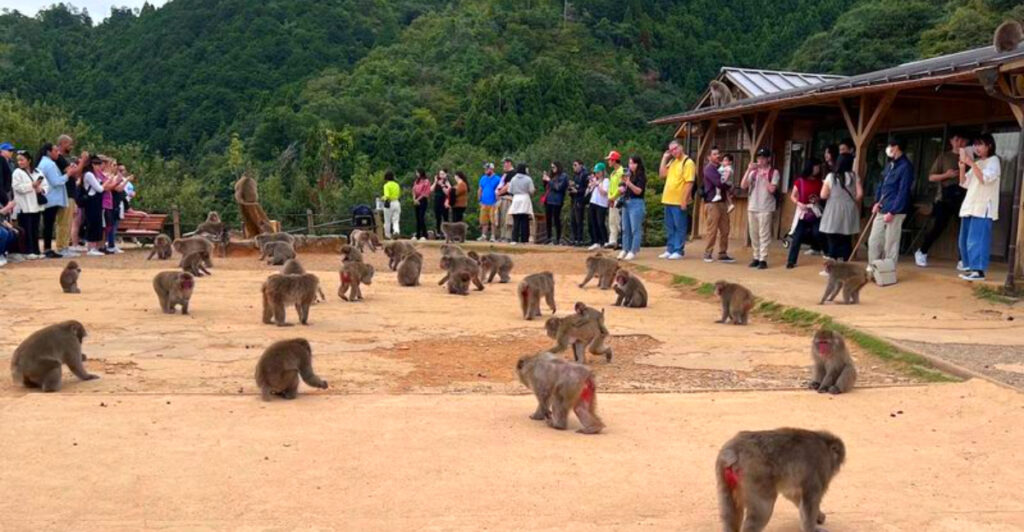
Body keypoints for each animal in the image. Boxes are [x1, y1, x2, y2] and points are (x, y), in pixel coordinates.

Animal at [716, 428, 845, 532]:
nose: (836, 468)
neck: (824, 444)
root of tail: (734, 452)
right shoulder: (820, 468)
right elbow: (810, 499)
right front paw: (812, 528)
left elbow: (794, 495)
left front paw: (819, 516)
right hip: (756, 474)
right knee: (763, 508)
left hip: (723, 474)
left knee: (729, 514)